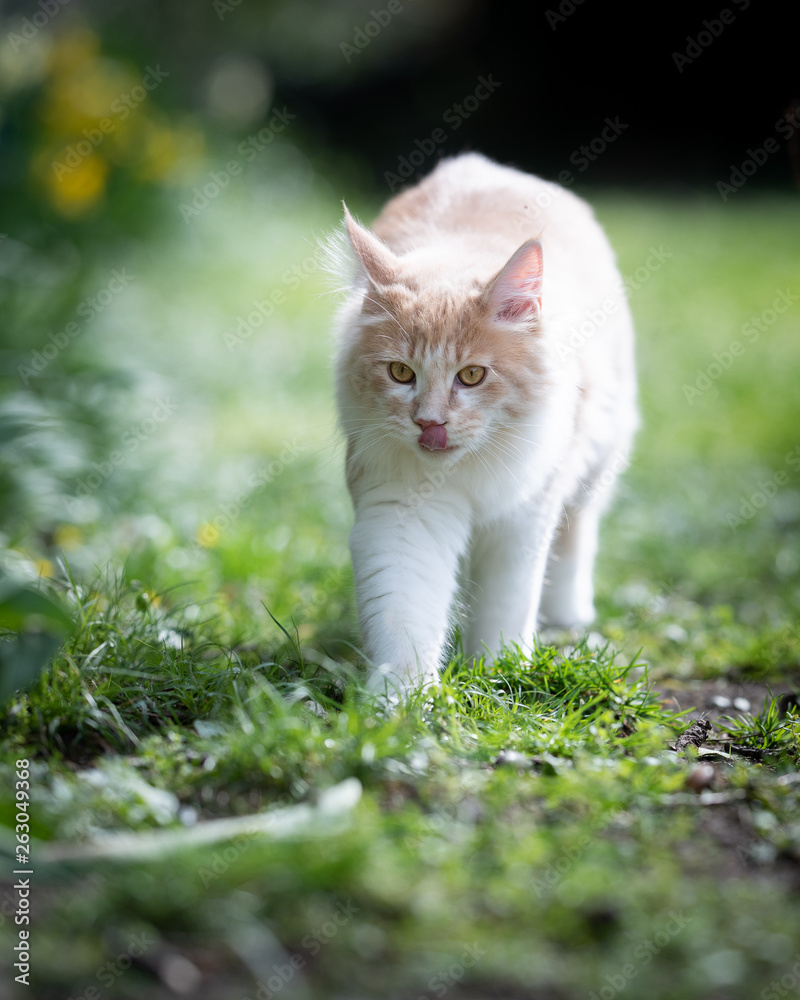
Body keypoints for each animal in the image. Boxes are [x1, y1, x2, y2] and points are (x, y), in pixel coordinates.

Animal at [326, 154, 636, 696]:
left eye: (471, 376)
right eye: (400, 373)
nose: (429, 424)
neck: (462, 471)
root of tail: (482, 164)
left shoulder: (526, 516)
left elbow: (505, 607)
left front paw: (497, 675)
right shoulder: (402, 515)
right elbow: (405, 617)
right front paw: (403, 703)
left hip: (598, 453)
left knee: (579, 532)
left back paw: (570, 616)